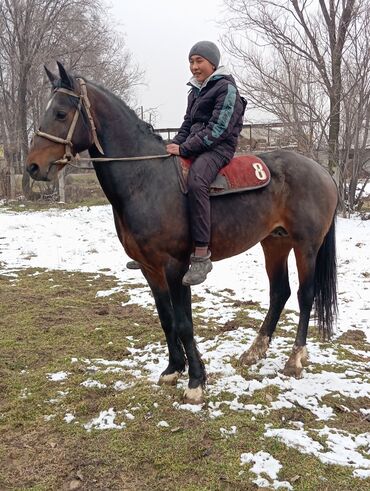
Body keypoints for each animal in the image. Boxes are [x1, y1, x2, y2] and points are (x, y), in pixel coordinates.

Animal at [26, 63, 338, 406]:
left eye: (60, 113)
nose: (33, 166)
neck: (145, 179)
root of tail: (321, 170)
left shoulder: (176, 267)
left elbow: (184, 323)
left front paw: (196, 382)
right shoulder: (150, 269)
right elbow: (166, 319)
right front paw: (173, 369)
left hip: (306, 246)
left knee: (305, 295)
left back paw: (295, 359)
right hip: (275, 243)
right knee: (279, 292)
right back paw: (254, 351)